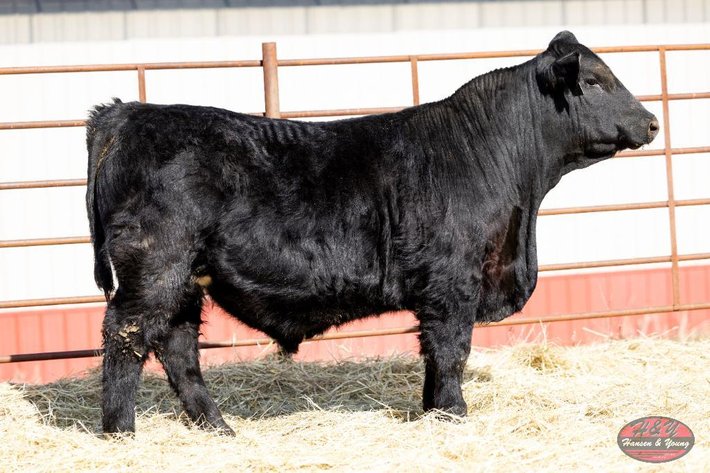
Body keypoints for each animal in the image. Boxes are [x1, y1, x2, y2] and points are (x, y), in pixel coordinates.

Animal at [86, 31, 658, 435]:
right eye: (593, 81)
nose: (652, 122)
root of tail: (128, 113)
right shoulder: (453, 282)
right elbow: (452, 350)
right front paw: (454, 415)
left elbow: (433, 355)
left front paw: (433, 412)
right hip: (154, 268)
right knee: (125, 337)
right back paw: (120, 433)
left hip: (185, 279)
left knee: (178, 348)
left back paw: (217, 427)